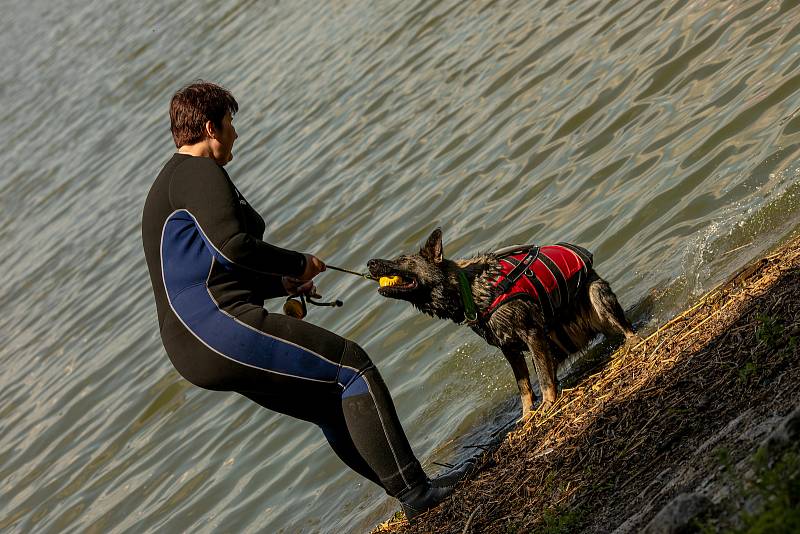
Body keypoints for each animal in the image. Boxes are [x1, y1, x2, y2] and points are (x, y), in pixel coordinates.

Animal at [368, 228, 636, 420]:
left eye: (402, 259)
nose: (370, 263)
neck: (469, 289)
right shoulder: (510, 349)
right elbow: (524, 386)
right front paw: (528, 416)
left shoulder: (532, 335)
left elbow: (543, 379)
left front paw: (548, 404)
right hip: (553, 340)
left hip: (596, 295)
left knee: (627, 329)